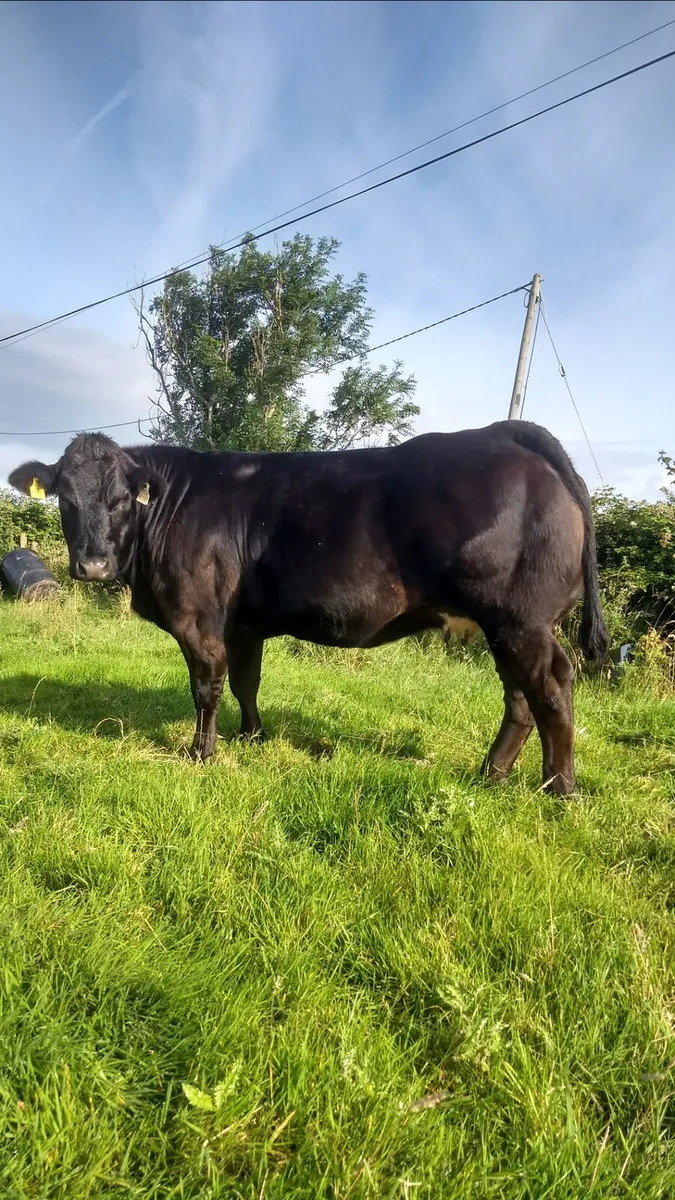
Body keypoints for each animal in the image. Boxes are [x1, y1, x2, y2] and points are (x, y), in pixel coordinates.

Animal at [8, 420, 608, 795]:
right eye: (66, 499)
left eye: (118, 501)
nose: (91, 567)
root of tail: (504, 432)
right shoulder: (244, 623)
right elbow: (245, 681)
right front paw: (251, 736)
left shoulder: (197, 618)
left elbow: (207, 685)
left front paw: (203, 752)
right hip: (507, 625)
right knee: (520, 697)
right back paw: (492, 773)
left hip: (520, 620)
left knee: (551, 687)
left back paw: (560, 789)